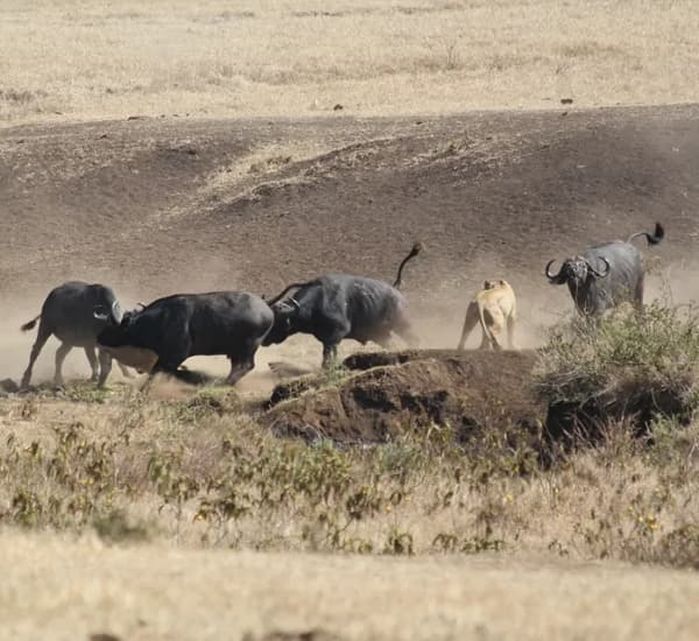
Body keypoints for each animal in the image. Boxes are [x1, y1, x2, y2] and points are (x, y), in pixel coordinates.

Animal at [95, 292, 274, 384]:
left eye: (114, 327)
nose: (99, 337)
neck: (162, 319)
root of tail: (266, 307)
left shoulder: (174, 357)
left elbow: (155, 373)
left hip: (247, 348)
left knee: (246, 366)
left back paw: (224, 383)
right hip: (237, 351)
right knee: (238, 367)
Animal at [266, 242, 424, 368]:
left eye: (277, 321)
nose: (264, 339)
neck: (318, 303)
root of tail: (396, 290)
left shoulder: (337, 334)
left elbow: (329, 354)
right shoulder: (326, 339)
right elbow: (327, 353)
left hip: (402, 325)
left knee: (414, 339)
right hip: (380, 335)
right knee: (393, 345)